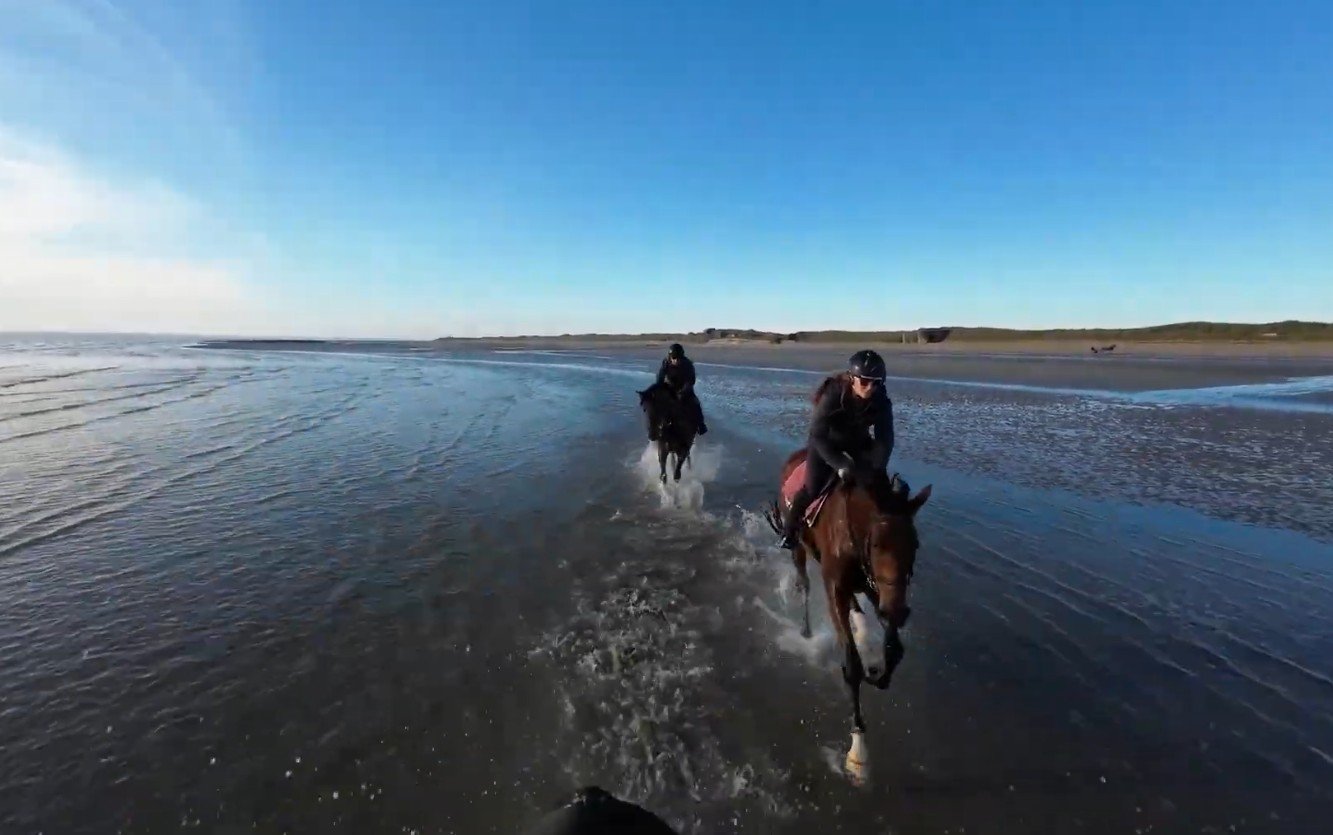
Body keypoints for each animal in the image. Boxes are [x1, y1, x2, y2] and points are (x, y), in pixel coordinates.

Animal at [765, 448, 931, 783]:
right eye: (877, 543)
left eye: (916, 544)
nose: (898, 611)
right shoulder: (835, 588)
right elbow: (852, 665)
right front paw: (858, 750)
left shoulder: (878, 588)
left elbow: (895, 649)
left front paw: (878, 671)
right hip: (799, 547)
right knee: (804, 583)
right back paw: (806, 630)